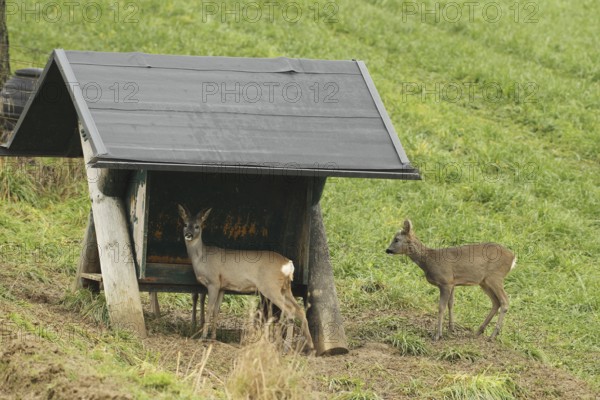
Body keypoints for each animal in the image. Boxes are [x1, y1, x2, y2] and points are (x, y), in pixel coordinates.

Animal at [176, 205, 314, 352]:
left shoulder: (213, 282)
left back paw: (286, 347)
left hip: (270, 287)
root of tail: (288, 264)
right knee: (299, 310)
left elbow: (209, 309)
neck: (202, 258)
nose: (188, 234)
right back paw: (309, 346)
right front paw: (213, 337)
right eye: (185, 224)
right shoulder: (222, 286)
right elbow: (216, 310)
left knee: (290, 311)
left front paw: (203, 337)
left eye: (197, 226)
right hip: (285, 288)